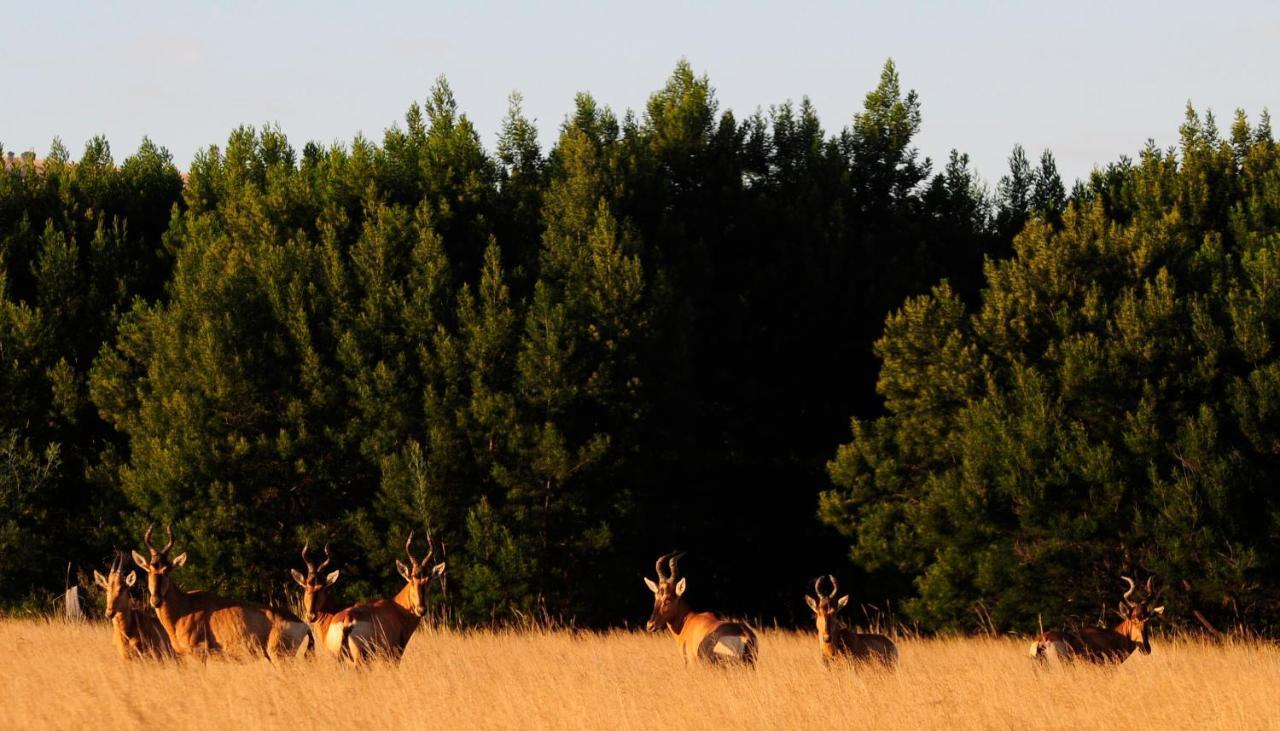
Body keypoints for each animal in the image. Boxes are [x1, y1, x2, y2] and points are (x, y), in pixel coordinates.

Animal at [130, 519, 312, 665]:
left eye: (167, 570)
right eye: (149, 569)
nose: (156, 601)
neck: (185, 606)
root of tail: (303, 624)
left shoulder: (199, 653)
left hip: (280, 658)